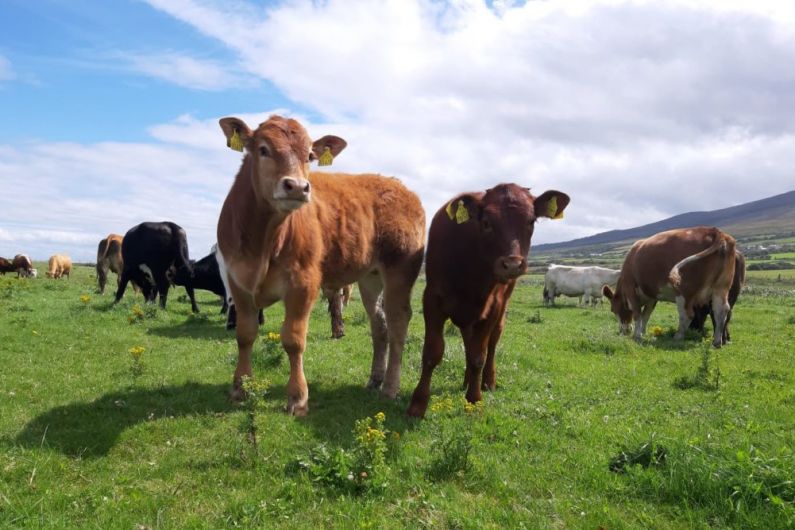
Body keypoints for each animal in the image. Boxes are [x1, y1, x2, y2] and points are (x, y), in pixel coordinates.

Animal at [215, 114, 426, 412]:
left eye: (309, 156)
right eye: (263, 149)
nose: (298, 186)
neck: (263, 241)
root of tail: (399, 186)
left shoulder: (304, 283)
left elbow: (293, 339)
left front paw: (297, 397)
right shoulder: (237, 280)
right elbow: (245, 334)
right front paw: (239, 388)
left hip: (400, 270)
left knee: (398, 323)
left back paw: (390, 388)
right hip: (370, 277)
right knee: (379, 325)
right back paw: (375, 379)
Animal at [408, 184, 568, 414]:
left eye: (531, 221)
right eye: (486, 222)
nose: (512, 264)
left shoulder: (493, 306)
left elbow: (478, 356)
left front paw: (474, 399)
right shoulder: (432, 301)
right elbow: (432, 353)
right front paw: (418, 404)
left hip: (500, 310)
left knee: (491, 344)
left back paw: (486, 382)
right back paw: (467, 380)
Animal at [604, 226, 740, 346]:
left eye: (613, 310)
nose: (623, 331)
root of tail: (715, 231)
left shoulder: (631, 288)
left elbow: (638, 314)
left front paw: (637, 335)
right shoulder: (652, 296)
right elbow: (646, 315)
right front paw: (643, 332)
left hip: (684, 291)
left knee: (688, 314)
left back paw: (678, 336)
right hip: (721, 288)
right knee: (721, 310)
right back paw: (717, 342)